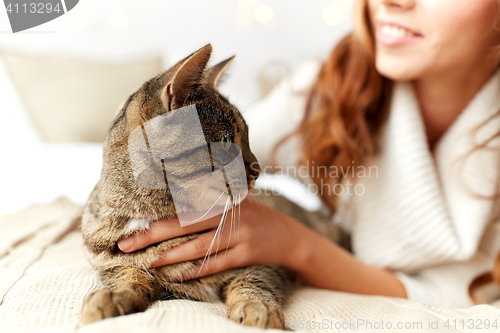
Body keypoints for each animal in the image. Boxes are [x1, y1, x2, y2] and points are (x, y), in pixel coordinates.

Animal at [81, 44, 348, 330]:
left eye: (248, 136)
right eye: (227, 141)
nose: (258, 170)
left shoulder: (268, 261)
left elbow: (252, 282)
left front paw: (258, 308)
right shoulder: (110, 264)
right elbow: (127, 274)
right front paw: (111, 297)